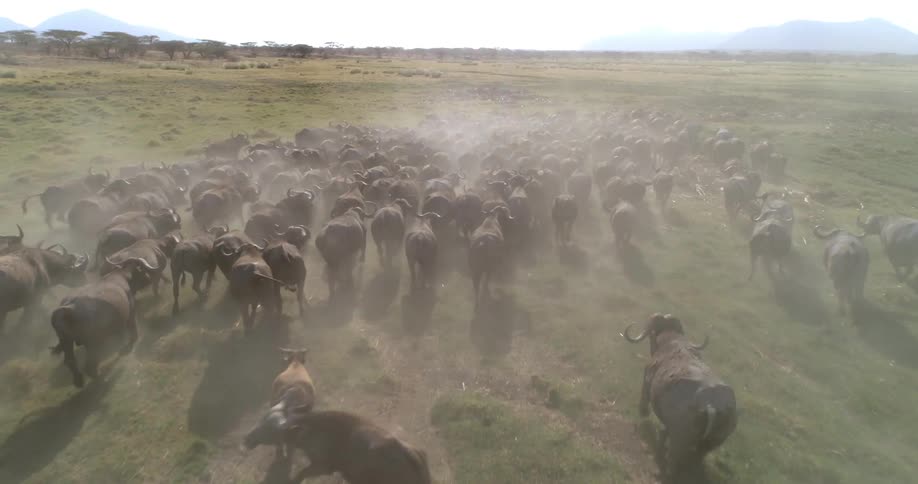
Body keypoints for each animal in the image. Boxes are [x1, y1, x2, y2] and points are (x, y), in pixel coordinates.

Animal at [50, 257, 158, 387]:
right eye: (142, 270)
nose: (149, 279)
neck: (122, 276)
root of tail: (69, 306)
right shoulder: (131, 312)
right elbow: (133, 329)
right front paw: (132, 342)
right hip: (91, 343)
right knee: (89, 365)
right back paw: (101, 379)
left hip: (67, 342)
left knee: (70, 361)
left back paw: (79, 381)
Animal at [623, 313, 737, 479]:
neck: (671, 342)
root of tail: (711, 403)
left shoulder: (647, 379)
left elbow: (644, 400)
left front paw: (643, 413)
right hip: (712, 442)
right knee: (697, 456)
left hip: (680, 439)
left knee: (673, 458)